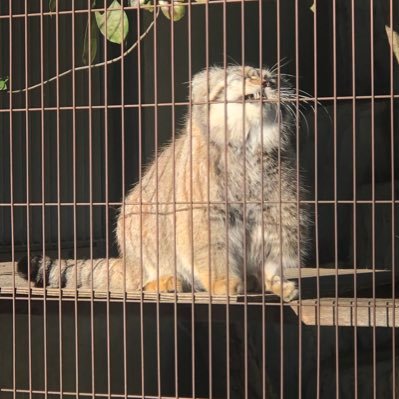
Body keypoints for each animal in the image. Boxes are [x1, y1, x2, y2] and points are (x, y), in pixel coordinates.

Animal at [17, 65, 308, 302]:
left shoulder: (276, 210)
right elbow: (212, 253)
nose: (268, 83)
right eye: (247, 76)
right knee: (142, 282)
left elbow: (271, 253)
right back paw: (167, 281)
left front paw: (274, 282)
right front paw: (224, 283)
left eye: (272, 79)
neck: (247, 147)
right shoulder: (204, 218)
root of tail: (127, 262)